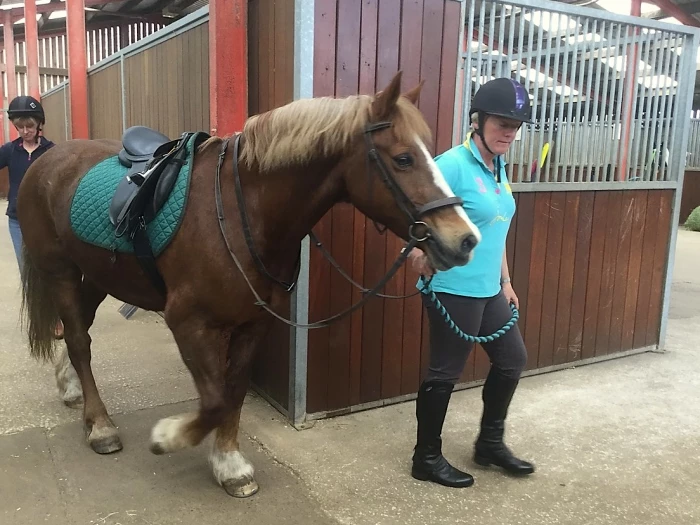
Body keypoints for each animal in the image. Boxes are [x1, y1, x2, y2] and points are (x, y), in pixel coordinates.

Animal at [16, 72, 478, 496]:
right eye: (403, 159)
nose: (465, 239)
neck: (244, 214)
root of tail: (46, 161)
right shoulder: (188, 322)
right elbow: (215, 399)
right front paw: (170, 437)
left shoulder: (255, 323)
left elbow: (233, 391)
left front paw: (228, 462)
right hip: (59, 270)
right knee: (78, 339)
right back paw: (100, 426)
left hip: (98, 273)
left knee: (78, 331)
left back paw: (70, 387)